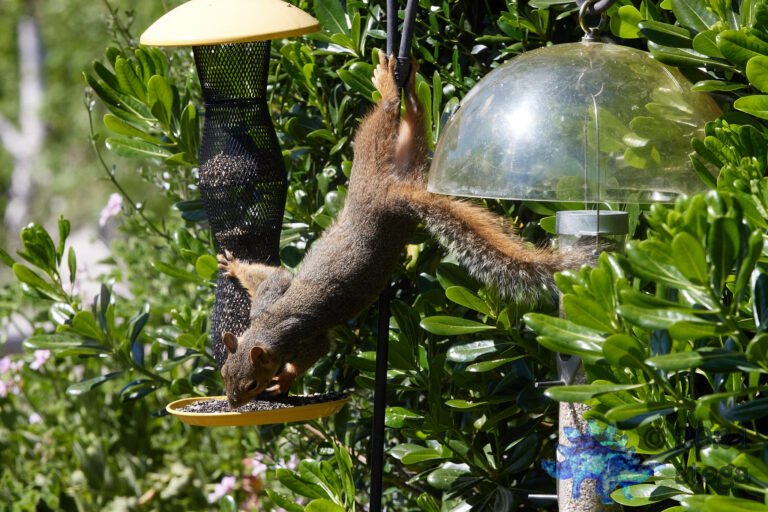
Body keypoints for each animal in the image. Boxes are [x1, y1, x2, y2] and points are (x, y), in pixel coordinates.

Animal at [217, 54, 588, 406]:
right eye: (223, 372)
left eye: (251, 384)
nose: (234, 402)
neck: (264, 329)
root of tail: (395, 193)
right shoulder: (266, 300)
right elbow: (273, 276)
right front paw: (234, 266)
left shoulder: (303, 339)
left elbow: (316, 350)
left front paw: (284, 381)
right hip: (406, 159)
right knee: (414, 125)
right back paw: (410, 90)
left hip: (367, 158)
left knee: (384, 115)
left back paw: (388, 88)